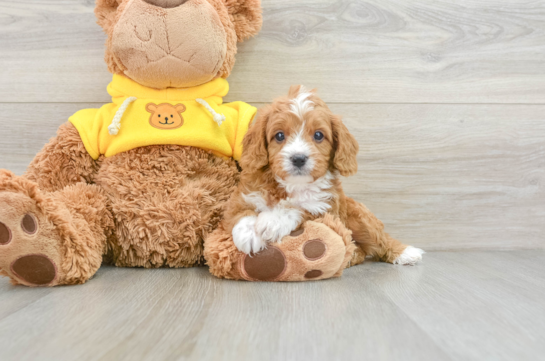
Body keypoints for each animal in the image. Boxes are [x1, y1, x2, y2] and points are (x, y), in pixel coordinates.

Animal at [222, 84, 424, 264]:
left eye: (318, 135)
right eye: (279, 136)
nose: (298, 158)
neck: (292, 185)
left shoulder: (326, 210)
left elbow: (300, 208)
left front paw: (272, 221)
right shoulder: (241, 197)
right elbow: (241, 211)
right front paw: (249, 234)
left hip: (360, 218)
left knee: (380, 239)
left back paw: (405, 253)